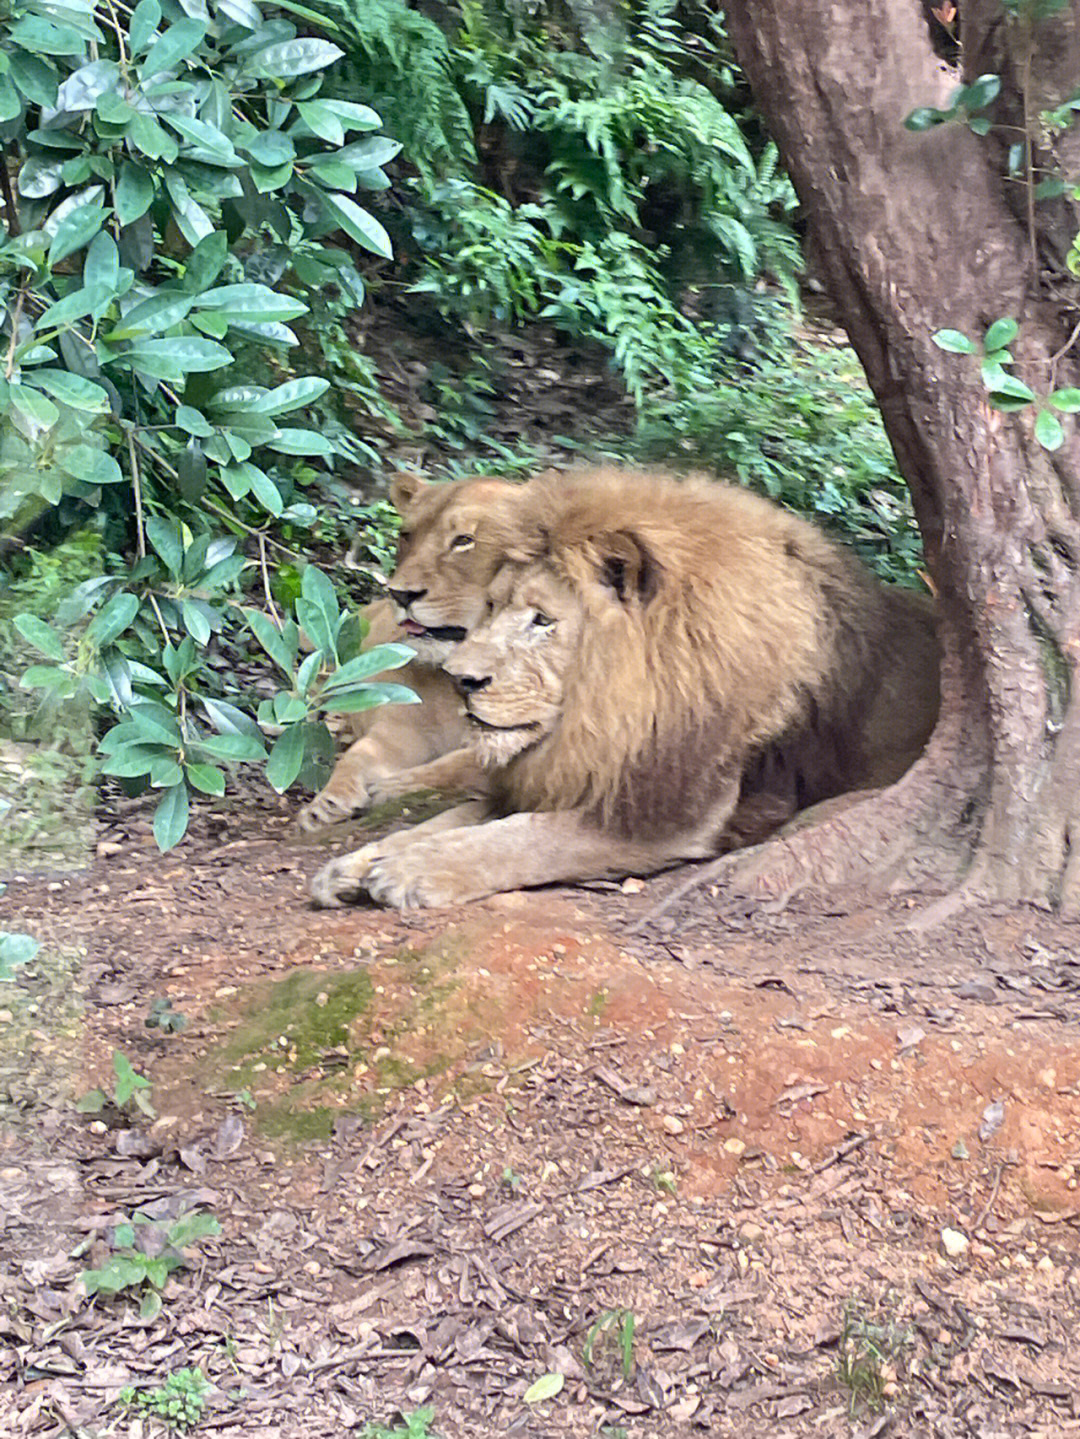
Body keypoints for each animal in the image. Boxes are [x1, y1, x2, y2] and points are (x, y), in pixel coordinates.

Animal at [300, 471, 529, 834]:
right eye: (406, 535)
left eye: (464, 540)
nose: (400, 594)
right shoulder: (399, 733)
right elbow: (360, 756)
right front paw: (326, 802)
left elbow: (464, 763)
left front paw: (394, 786)